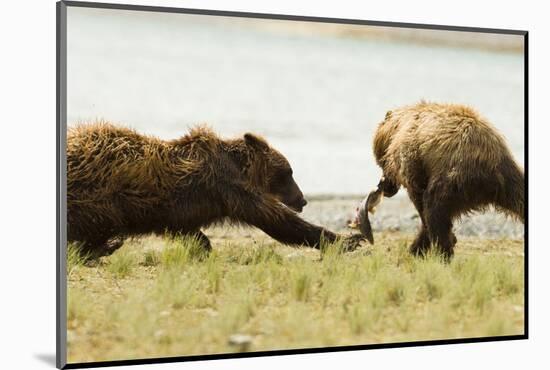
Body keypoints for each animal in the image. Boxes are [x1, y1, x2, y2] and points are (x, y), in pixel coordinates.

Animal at [67, 121, 360, 258]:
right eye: (288, 173)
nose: (303, 200)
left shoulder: (188, 209)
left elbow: (191, 232)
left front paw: (203, 248)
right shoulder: (229, 189)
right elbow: (278, 221)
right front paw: (347, 239)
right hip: (99, 196)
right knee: (97, 223)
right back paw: (102, 247)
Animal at [362, 101, 528, 260]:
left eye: (381, 162)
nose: (383, 185)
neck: (397, 128)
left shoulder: (413, 157)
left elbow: (419, 195)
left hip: (455, 177)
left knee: (434, 207)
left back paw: (442, 252)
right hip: (508, 180)